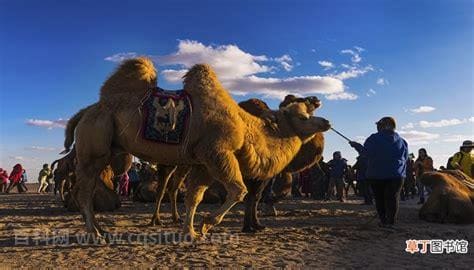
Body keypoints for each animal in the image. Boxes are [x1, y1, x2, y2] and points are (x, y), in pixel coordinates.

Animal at [66, 57, 332, 238]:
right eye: (303, 116)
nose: (326, 121)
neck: (246, 130)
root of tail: (83, 113)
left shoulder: (204, 163)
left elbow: (194, 196)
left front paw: (190, 232)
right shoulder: (218, 153)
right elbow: (239, 191)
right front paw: (205, 224)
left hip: (106, 149)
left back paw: (101, 228)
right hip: (94, 147)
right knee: (85, 189)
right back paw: (95, 233)